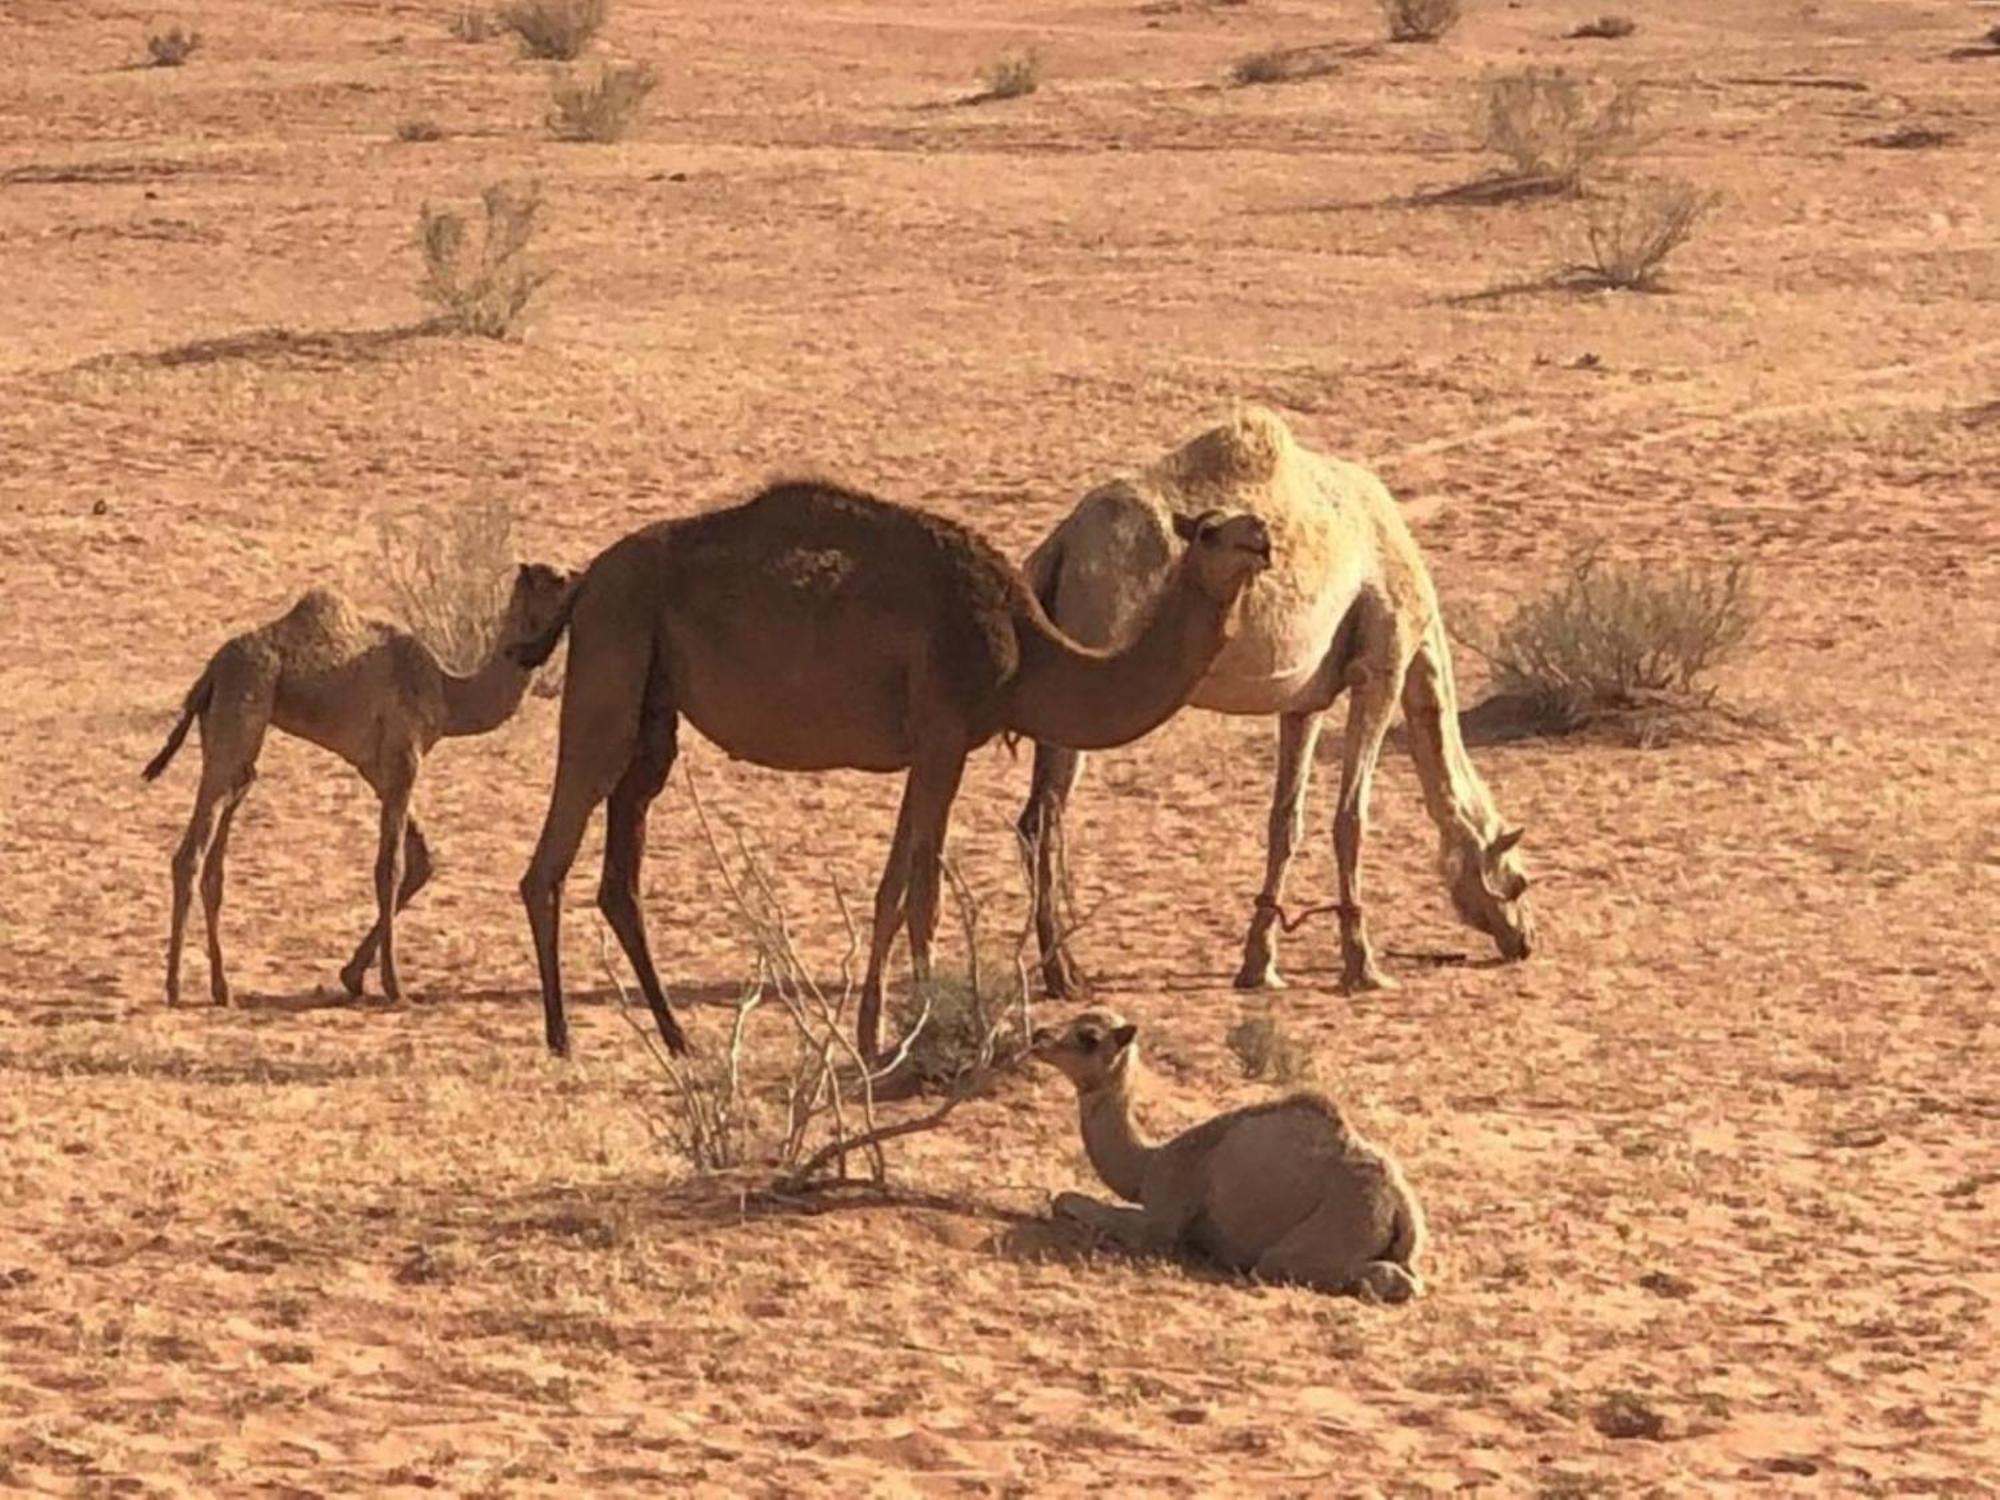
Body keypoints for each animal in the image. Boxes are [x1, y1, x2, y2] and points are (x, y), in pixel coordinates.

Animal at [143, 564, 572, 1012]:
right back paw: (174, 987)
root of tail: (210, 672)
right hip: (241, 712)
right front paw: (395, 987)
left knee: (218, 844)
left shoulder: (377, 768)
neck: (448, 693)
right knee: (191, 852)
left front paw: (352, 975)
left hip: (228, 734)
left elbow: (422, 860)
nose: (580, 578)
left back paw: (221, 989)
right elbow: (390, 867)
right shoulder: (404, 758)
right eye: (557, 579)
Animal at [508, 478, 1272, 1056]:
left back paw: (675, 1035)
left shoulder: (929, 747)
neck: (1025, 651)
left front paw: (872, 1034)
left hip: (654, 702)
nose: (1261, 537)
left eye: (1250, 520)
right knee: (556, 845)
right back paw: (561, 1035)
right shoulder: (945, 734)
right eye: (1209, 531)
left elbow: (891, 891)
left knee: (622, 864)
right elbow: (924, 894)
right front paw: (929, 1029)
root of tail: (584, 582)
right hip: (613, 646)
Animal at [1024, 406, 1536, 1004]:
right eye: (1517, 880)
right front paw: (1363, 965)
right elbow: (1351, 819)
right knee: (1047, 816)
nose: (1525, 940)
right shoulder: (1383, 666)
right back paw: (1064, 975)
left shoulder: (1305, 700)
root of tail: (1061, 546)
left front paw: (1258, 965)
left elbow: (1285, 821)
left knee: (1035, 814)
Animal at [1032, 1016, 1424, 1312]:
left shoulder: (1161, 1223)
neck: (1147, 1164)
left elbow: (1069, 1201)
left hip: (1334, 1223)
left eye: (1089, 1037)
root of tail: (1399, 1208)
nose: (1039, 1036)